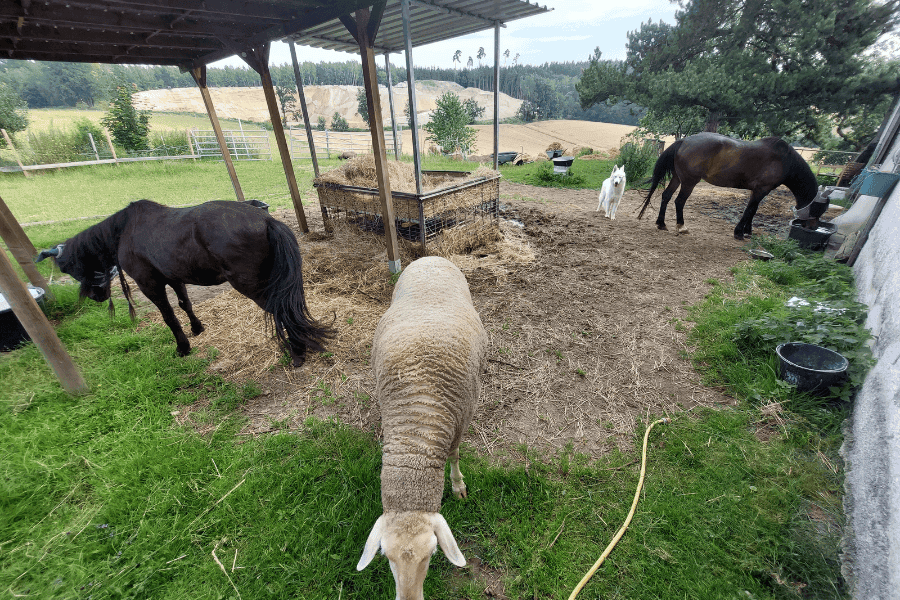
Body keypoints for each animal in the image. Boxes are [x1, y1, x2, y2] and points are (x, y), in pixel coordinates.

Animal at [37, 200, 334, 366]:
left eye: (69, 268)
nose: (96, 296)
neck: (126, 232)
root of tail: (266, 219)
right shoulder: (174, 278)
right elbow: (185, 303)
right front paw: (197, 328)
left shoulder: (150, 284)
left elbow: (169, 316)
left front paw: (182, 347)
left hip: (251, 286)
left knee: (280, 311)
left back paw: (297, 351)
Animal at [356, 256, 488, 600]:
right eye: (384, 555)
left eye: (433, 553)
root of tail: (431, 257)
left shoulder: (460, 421)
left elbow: (455, 456)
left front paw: (457, 486)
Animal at [640, 132, 828, 240]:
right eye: (819, 208)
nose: (814, 227)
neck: (785, 159)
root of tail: (683, 141)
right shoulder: (761, 190)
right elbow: (749, 210)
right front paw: (739, 232)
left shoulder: (758, 192)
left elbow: (753, 211)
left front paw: (747, 231)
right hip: (689, 182)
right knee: (679, 201)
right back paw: (681, 227)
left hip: (677, 178)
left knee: (666, 196)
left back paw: (661, 223)